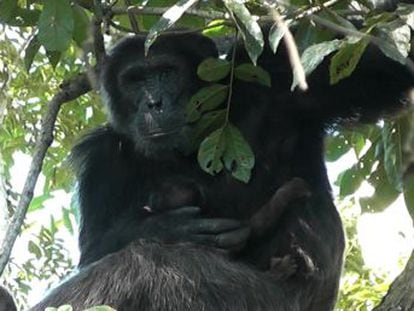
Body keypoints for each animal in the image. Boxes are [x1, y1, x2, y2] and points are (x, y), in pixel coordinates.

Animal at [29, 14, 414, 311]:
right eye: (135, 80)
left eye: (166, 72)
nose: (153, 103)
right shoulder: (102, 160)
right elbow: (95, 248)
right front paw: (171, 227)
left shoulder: (280, 76)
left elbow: (382, 69)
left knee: (144, 267)